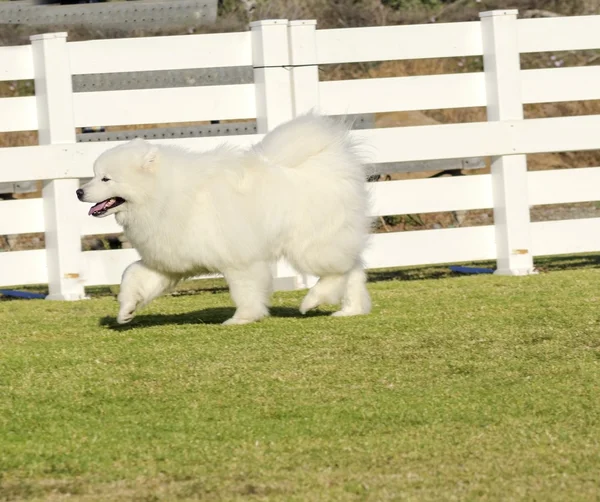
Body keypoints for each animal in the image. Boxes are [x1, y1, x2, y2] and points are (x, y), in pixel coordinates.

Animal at [79, 114, 370, 326]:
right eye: (94, 175)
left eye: (106, 179)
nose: (78, 191)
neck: (163, 195)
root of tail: (330, 164)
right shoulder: (166, 262)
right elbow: (132, 276)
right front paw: (127, 311)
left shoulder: (239, 260)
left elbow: (245, 292)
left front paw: (243, 318)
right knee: (352, 269)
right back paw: (351, 309)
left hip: (309, 246)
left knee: (338, 272)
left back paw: (312, 300)